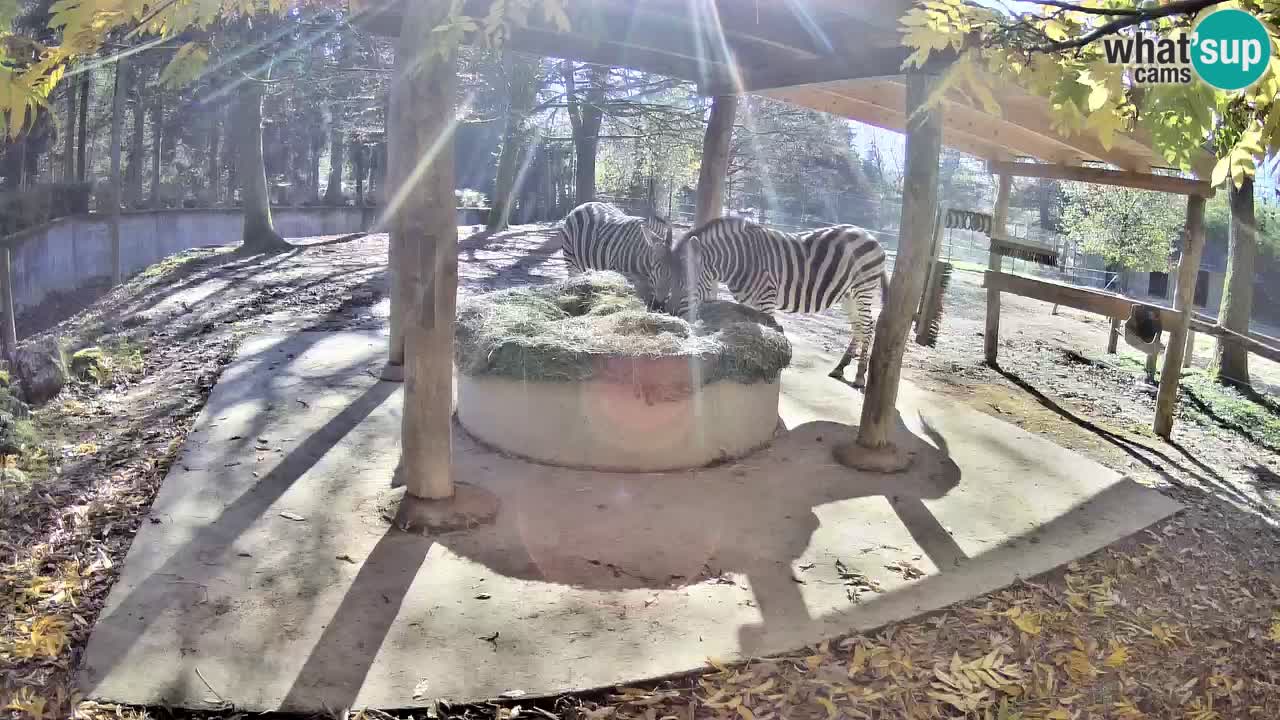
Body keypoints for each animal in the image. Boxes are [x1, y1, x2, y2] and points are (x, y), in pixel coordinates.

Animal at [660, 216, 890, 386]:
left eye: (685, 284)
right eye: (670, 281)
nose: (669, 314)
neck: (742, 260)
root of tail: (870, 236)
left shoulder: (766, 299)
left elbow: (767, 329)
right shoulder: (749, 302)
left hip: (863, 289)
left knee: (868, 327)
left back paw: (860, 376)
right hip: (847, 294)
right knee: (858, 326)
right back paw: (840, 367)